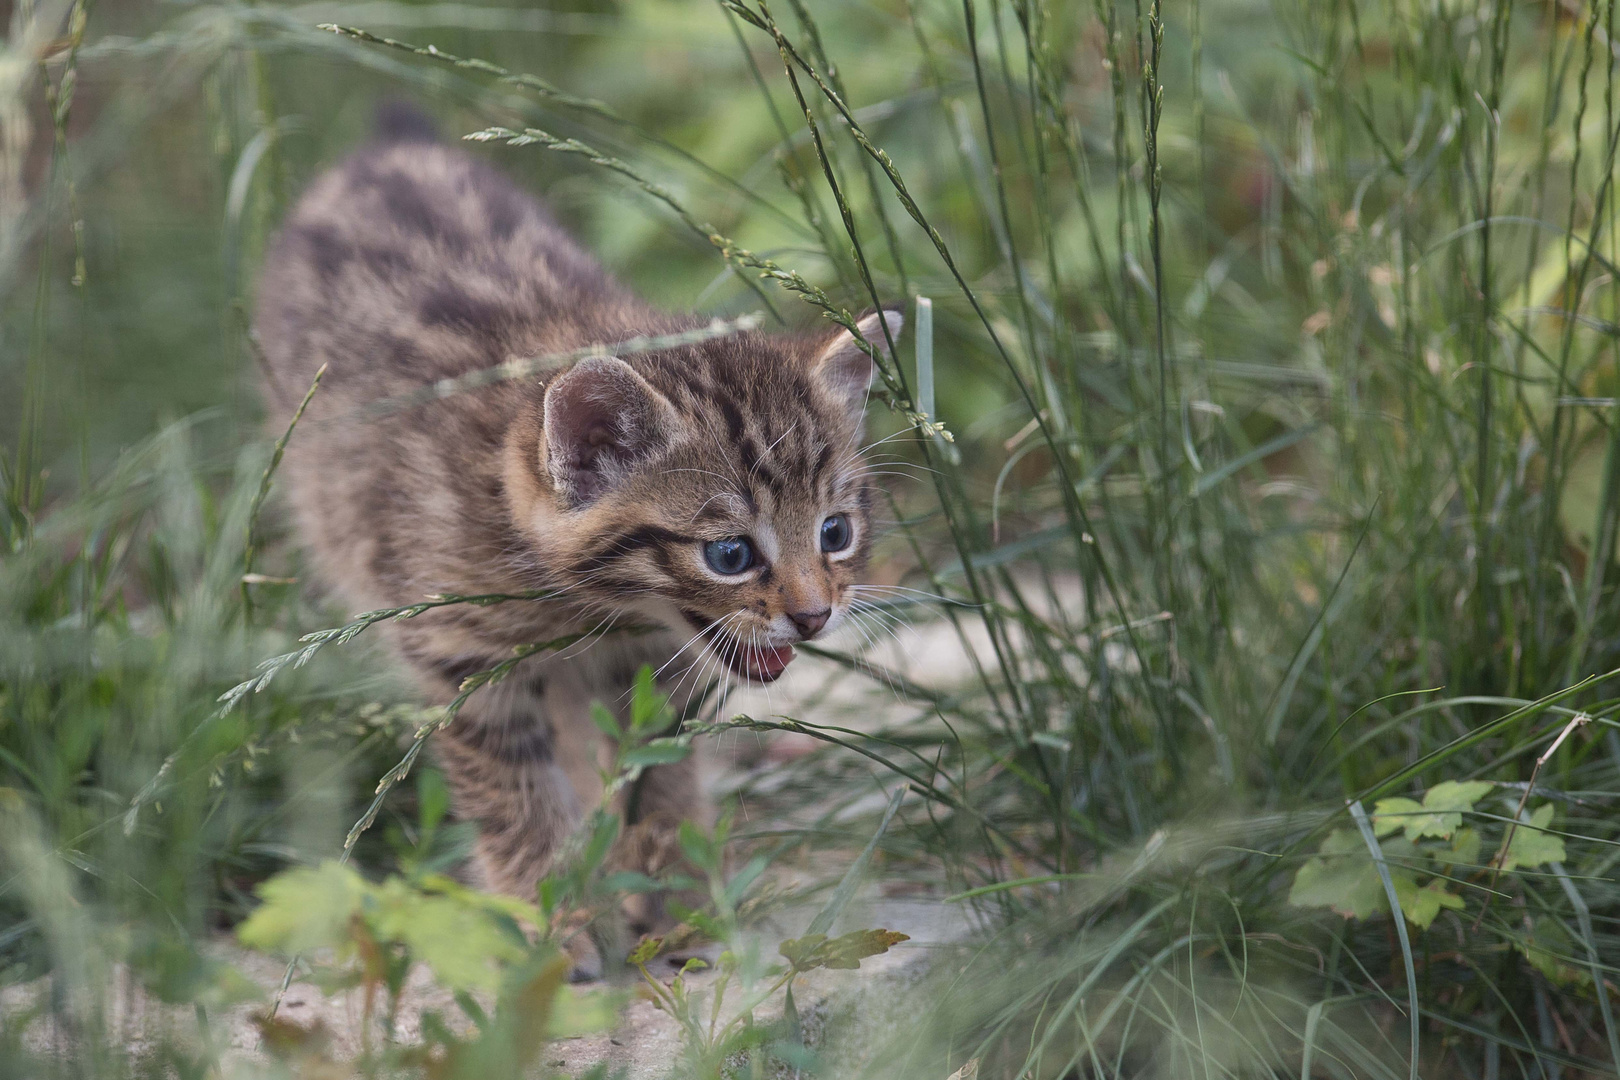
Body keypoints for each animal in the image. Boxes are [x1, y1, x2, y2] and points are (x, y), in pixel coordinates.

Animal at [259, 107, 907, 952]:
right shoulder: (460, 658)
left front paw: (671, 891)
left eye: (835, 534)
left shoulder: (651, 662)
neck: (590, 607)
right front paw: (551, 918)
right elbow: (514, 793)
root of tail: (385, 145)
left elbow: (653, 767)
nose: (814, 616)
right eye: (729, 554)